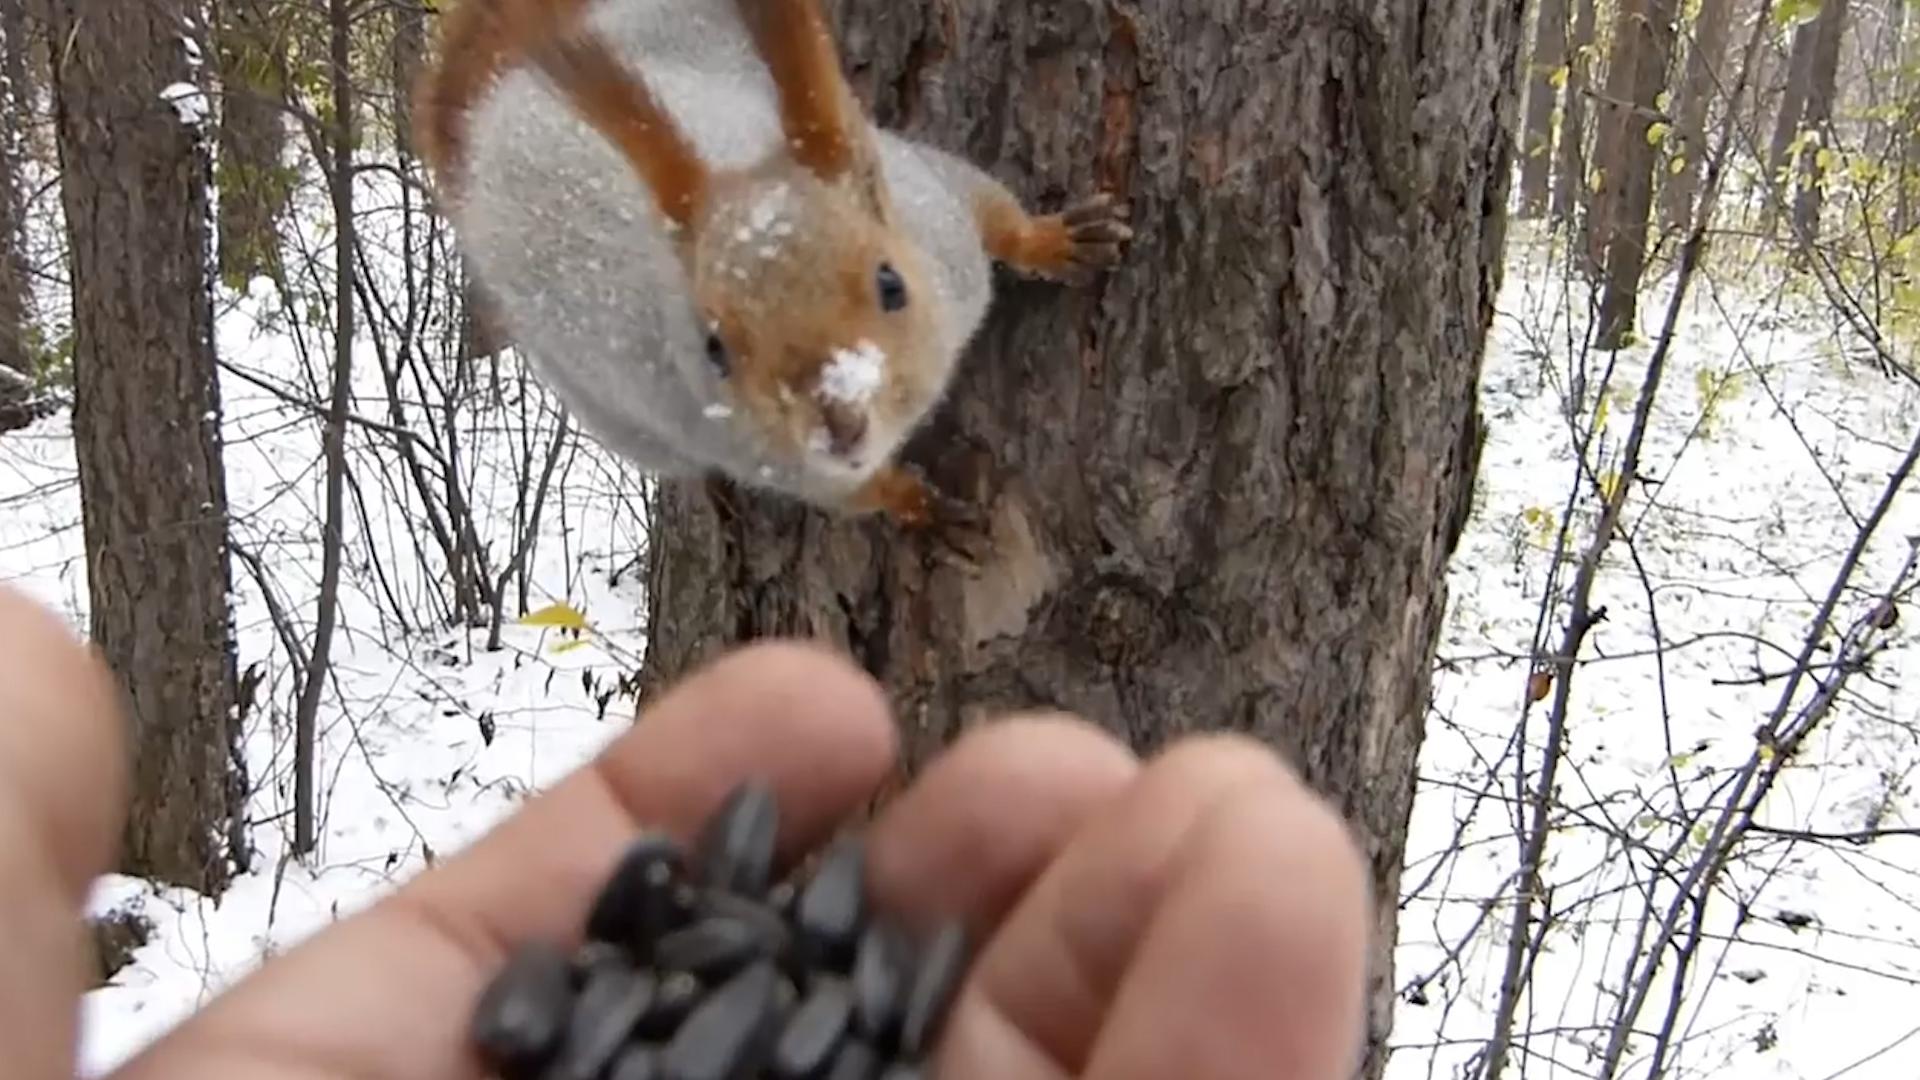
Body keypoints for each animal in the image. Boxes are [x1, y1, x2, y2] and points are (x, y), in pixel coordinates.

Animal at [416, 0, 1121, 526]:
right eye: (715, 350)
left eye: (891, 284)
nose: (840, 423)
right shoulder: (760, 453)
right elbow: (848, 493)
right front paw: (913, 501)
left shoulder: (937, 215)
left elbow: (991, 211)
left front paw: (1056, 240)